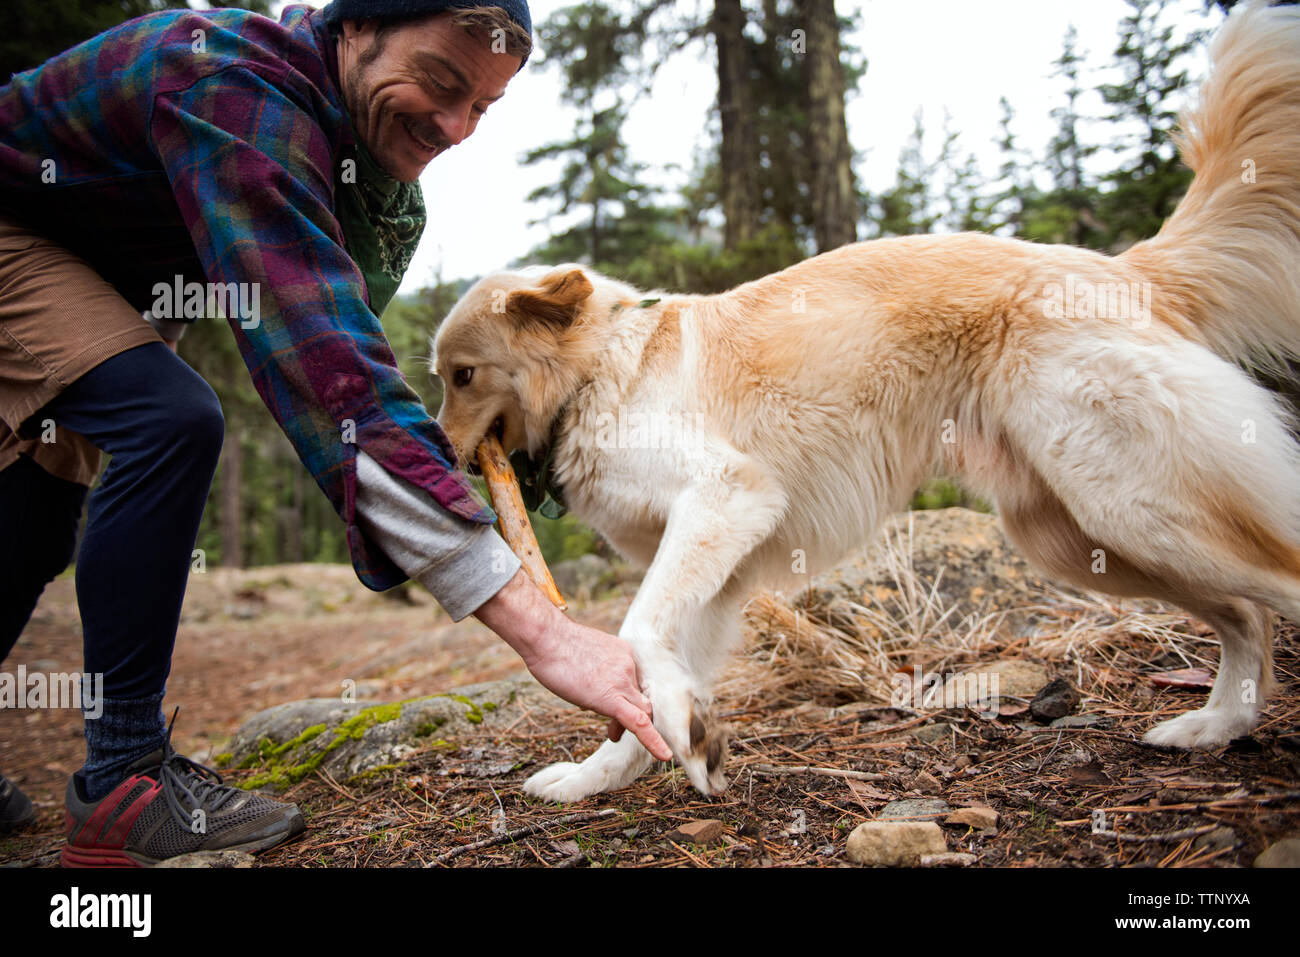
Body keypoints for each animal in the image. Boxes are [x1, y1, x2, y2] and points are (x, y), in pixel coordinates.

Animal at [434, 3, 1300, 806]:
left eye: (463, 375)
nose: (436, 452)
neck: (602, 369)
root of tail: (1122, 268)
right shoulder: (711, 566)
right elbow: (641, 677)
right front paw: (618, 766)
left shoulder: (725, 498)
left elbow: (641, 628)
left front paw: (680, 735)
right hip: (1082, 535)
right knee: (1245, 614)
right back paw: (1216, 724)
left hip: (1131, 505)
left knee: (1272, 589)